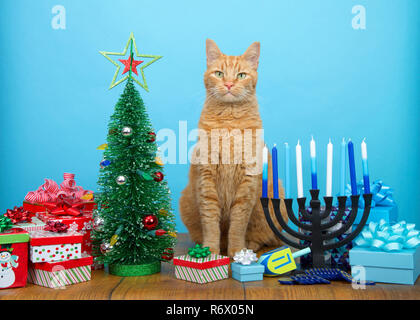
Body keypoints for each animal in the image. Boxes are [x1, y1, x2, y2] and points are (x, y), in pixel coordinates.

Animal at [179, 38, 288, 256]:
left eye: (241, 75)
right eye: (219, 73)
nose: (229, 84)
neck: (229, 124)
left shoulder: (247, 184)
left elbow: (238, 223)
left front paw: (237, 251)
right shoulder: (207, 180)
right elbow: (211, 223)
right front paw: (211, 252)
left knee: (264, 237)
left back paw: (250, 246)